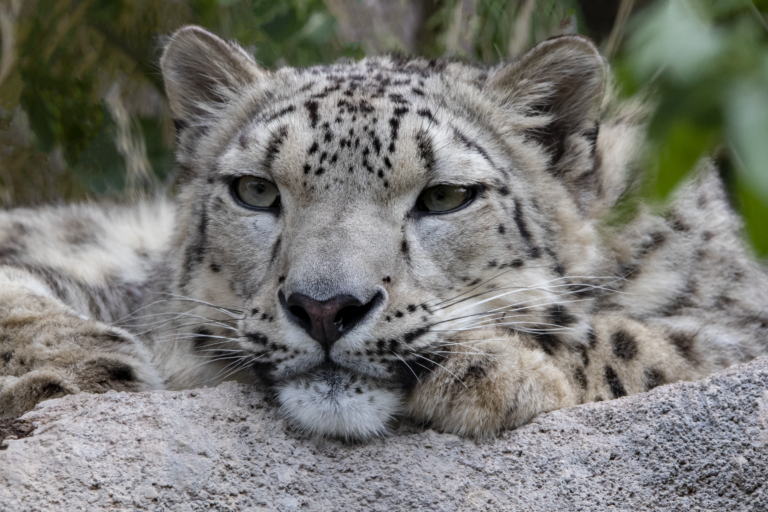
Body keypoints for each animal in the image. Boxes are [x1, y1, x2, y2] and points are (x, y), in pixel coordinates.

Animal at [1, 25, 767, 441]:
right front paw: (83, 367)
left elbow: (639, 341)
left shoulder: (738, 330)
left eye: (445, 196)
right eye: (256, 190)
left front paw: (489, 369)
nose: (324, 308)